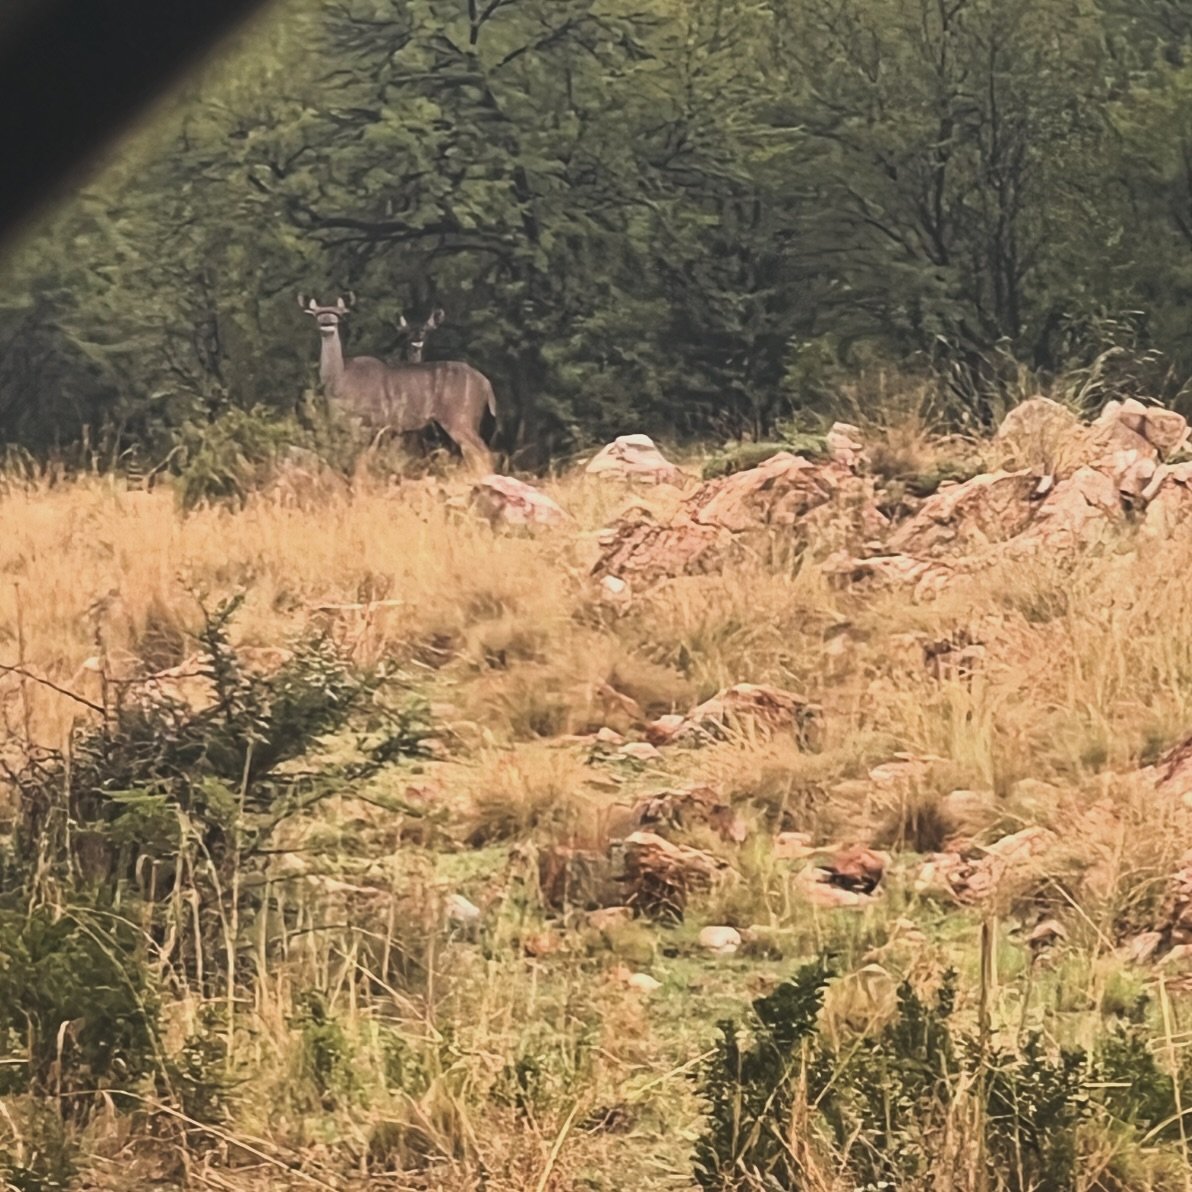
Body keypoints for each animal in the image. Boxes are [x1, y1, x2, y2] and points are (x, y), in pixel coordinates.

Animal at [305, 293, 500, 469]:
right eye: (317, 314)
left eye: (337, 315)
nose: (326, 323)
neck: (341, 377)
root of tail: (486, 383)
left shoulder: (364, 424)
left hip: (459, 420)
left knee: (482, 452)